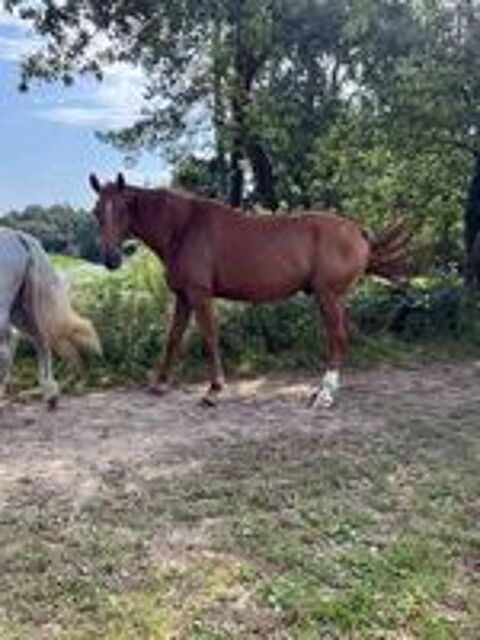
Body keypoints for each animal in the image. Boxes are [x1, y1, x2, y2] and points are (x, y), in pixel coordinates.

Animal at [89, 173, 409, 407]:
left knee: (337, 337)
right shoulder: (182, 297)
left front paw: (214, 390)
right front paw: (160, 384)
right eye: (96, 212)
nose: (111, 259)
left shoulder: (200, 296)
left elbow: (209, 339)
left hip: (328, 296)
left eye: (123, 209)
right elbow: (173, 339)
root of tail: (357, 231)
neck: (183, 227)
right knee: (341, 337)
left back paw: (325, 394)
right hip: (336, 298)